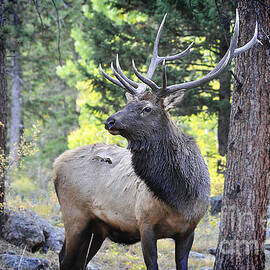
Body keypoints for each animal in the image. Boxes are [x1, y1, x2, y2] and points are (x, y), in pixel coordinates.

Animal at [52, 10, 258, 270]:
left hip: (97, 228)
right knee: (65, 258)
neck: (180, 198)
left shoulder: (188, 231)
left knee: (76, 260)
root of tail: (56, 164)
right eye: (129, 102)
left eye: (146, 108)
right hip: (74, 214)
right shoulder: (145, 225)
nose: (110, 121)